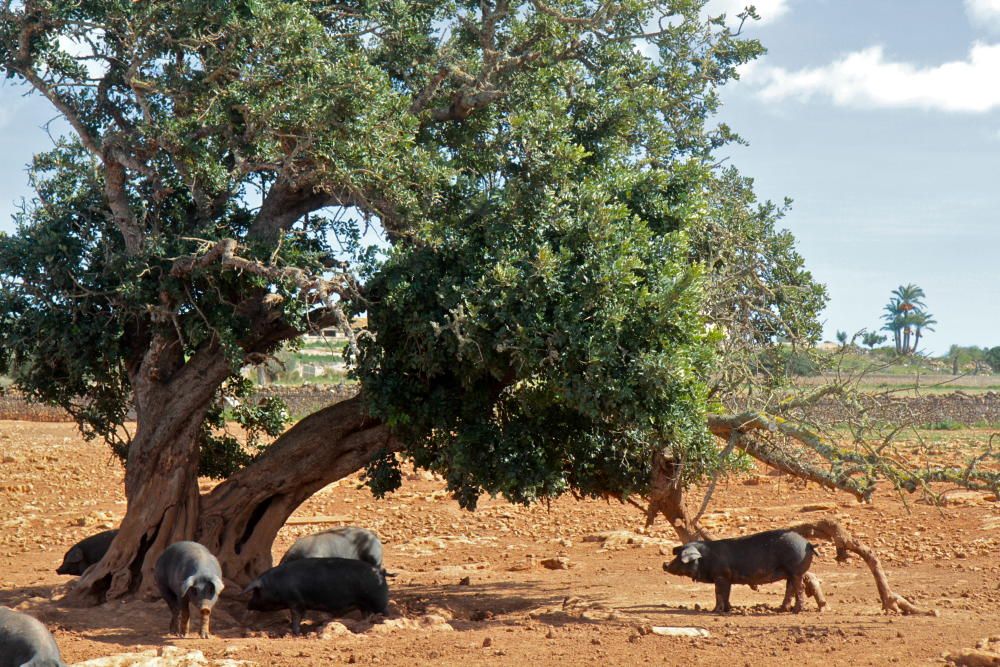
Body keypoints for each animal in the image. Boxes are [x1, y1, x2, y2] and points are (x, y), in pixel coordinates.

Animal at [244, 556, 388, 636]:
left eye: (256, 592)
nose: (248, 605)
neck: (276, 584)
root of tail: (380, 572)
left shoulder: (295, 601)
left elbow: (296, 617)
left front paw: (296, 633)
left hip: (379, 600)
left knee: (385, 612)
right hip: (364, 603)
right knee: (366, 614)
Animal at [660, 528, 816, 612]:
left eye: (680, 557)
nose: (665, 564)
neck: (706, 558)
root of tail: (808, 543)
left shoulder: (720, 576)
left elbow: (719, 593)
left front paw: (715, 611)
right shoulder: (727, 579)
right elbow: (726, 594)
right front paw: (728, 609)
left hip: (796, 570)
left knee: (799, 588)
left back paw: (796, 611)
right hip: (791, 573)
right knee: (790, 588)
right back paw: (781, 609)